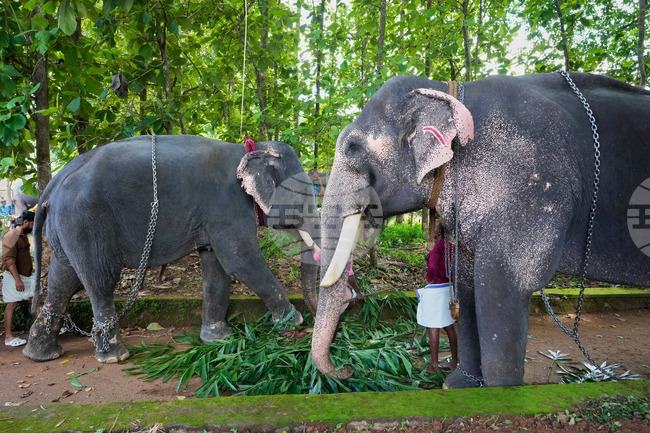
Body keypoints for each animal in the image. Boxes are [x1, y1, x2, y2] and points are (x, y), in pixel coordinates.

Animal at [23, 135, 320, 363]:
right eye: (303, 196)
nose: (313, 316)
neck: (251, 146)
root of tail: (52, 184)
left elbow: (217, 268)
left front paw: (217, 339)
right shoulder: (227, 206)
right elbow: (240, 261)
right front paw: (293, 322)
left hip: (66, 226)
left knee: (64, 278)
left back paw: (40, 354)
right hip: (85, 221)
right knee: (100, 279)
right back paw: (115, 356)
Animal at [312, 72, 650, 388]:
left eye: (353, 147)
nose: (348, 367)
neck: (450, 92)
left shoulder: (527, 187)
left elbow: (501, 284)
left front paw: (497, 394)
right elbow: (467, 282)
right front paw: (459, 385)